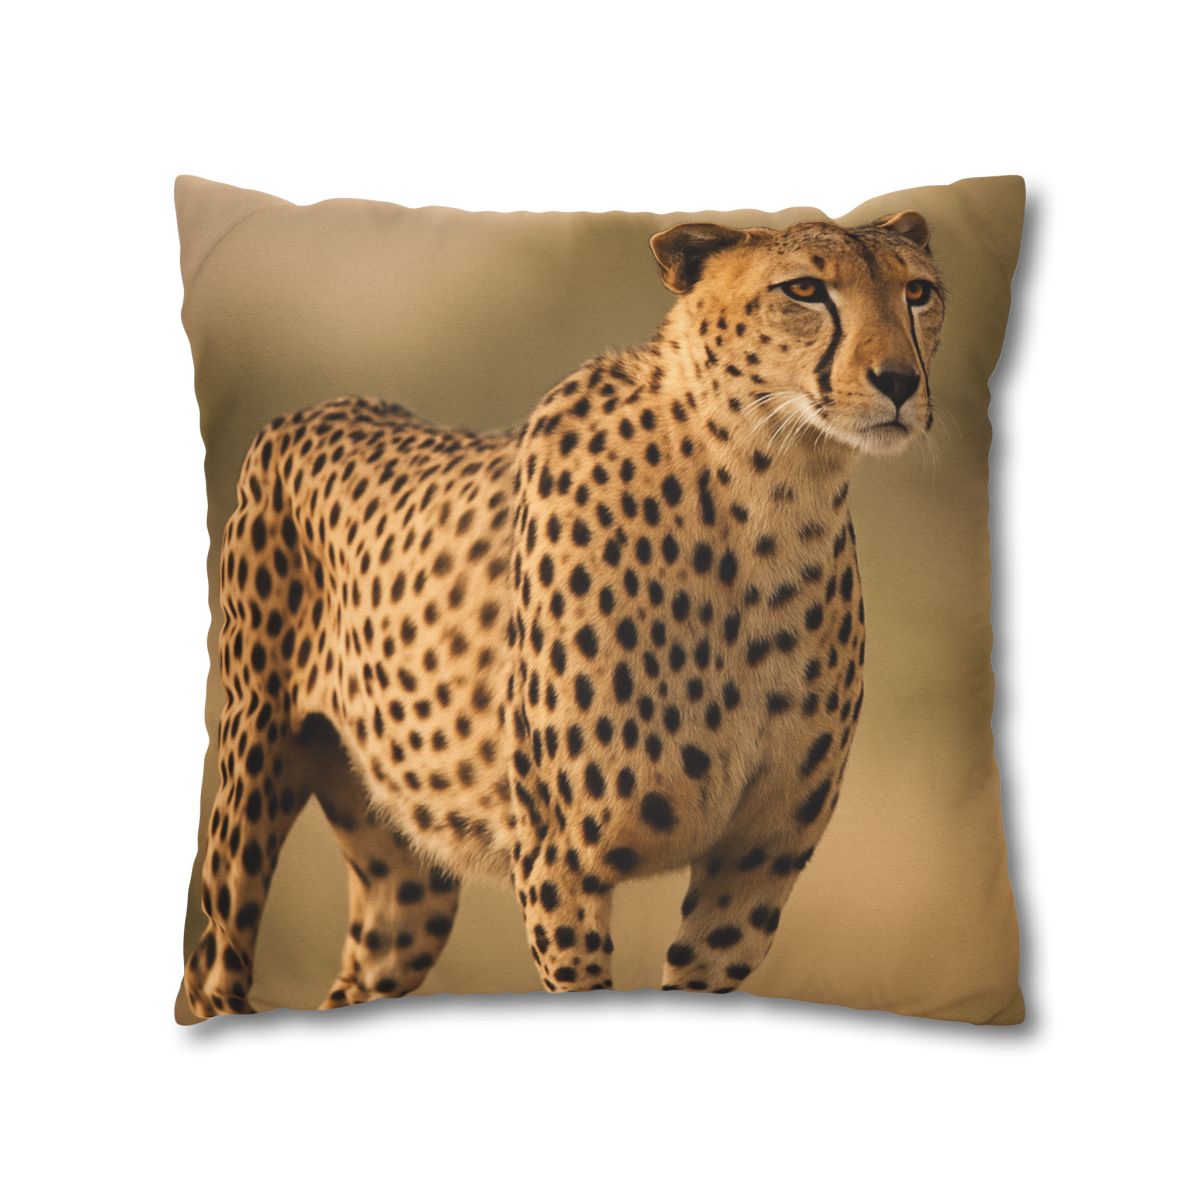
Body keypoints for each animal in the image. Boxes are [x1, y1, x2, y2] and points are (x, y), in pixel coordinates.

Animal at [184, 209, 944, 1016]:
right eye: (804, 290)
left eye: (918, 292)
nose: (899, 382)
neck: (770, 495)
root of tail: (320, 406)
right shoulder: (562, 861)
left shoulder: (754, 865)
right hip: (254, 766)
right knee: (215, 963)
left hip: (407, 882)